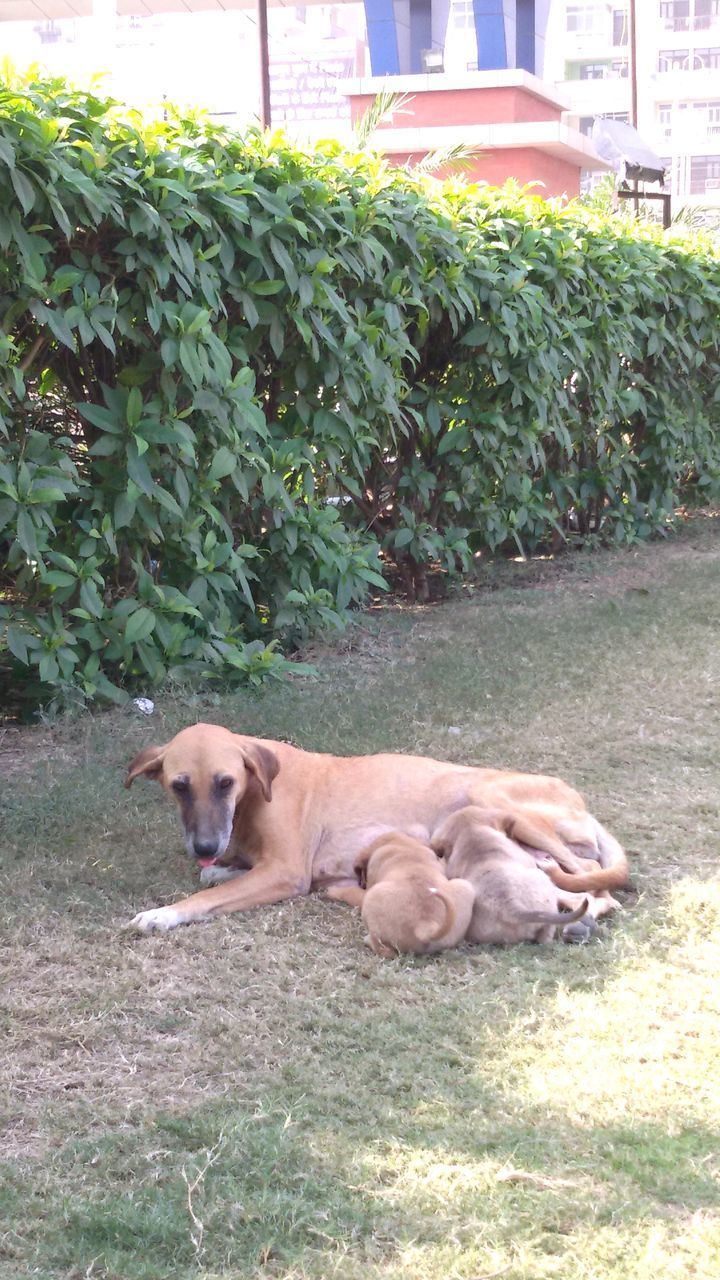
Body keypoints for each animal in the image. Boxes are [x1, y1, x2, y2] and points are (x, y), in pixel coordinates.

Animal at [124, 721, 627, 931]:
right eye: (179, 786)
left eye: (225, 782)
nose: (205, 846)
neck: (254, 794)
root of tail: (580, 801)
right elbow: (219, 876)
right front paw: (219, 868)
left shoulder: (286, 872)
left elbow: (206, 896)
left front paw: (162, 914)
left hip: (494, 798)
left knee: (595, 886)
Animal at [326, 834, 476, 957]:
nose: (361, 883)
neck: (401, 843)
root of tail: (426, 926)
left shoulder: (366, 891)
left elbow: (350, 892)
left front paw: (333, 891)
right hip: (464, 885)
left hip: (372, 897)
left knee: (385, 950)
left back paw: (369, 940)